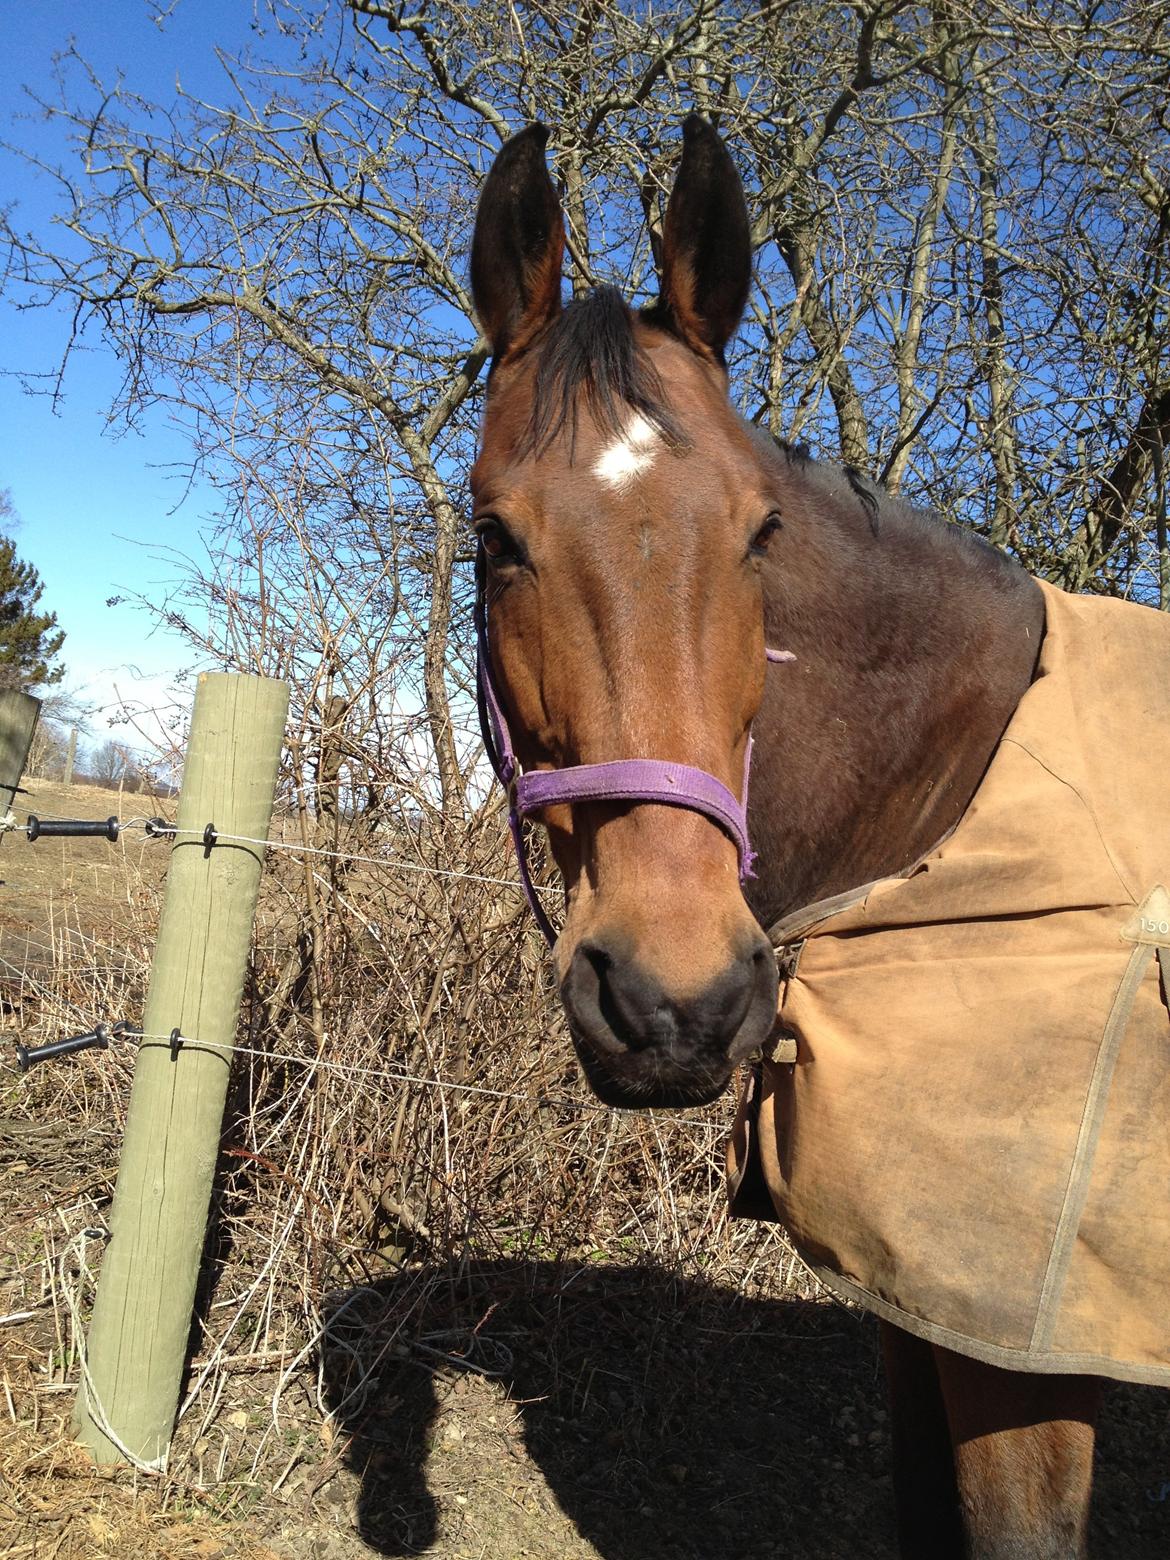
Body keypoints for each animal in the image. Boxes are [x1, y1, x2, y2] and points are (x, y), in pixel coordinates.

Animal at [467, 115, 1170, 1553]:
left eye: (760, 533)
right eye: (493, 534)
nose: (672, 1001)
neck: (959, 807)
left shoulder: (1026, 1346)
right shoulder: (915, 1302)